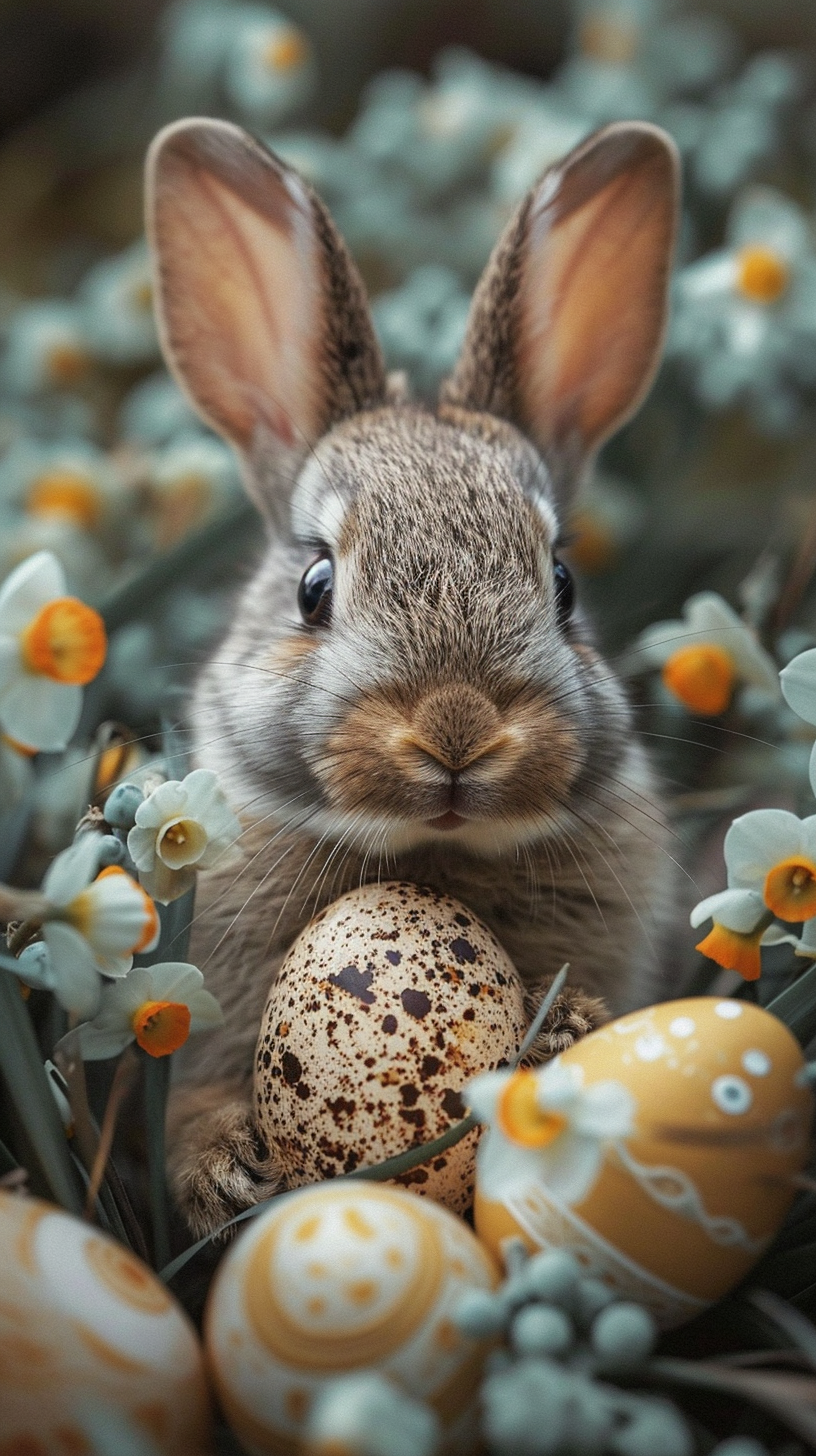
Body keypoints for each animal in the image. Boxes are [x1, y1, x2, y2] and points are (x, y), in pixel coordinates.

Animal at [146, 113, 681, 1234]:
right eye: (313, 585)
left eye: (562, 583)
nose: (457, 728)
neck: (433, 855)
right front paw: (220, 1166)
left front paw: (567, 1033)